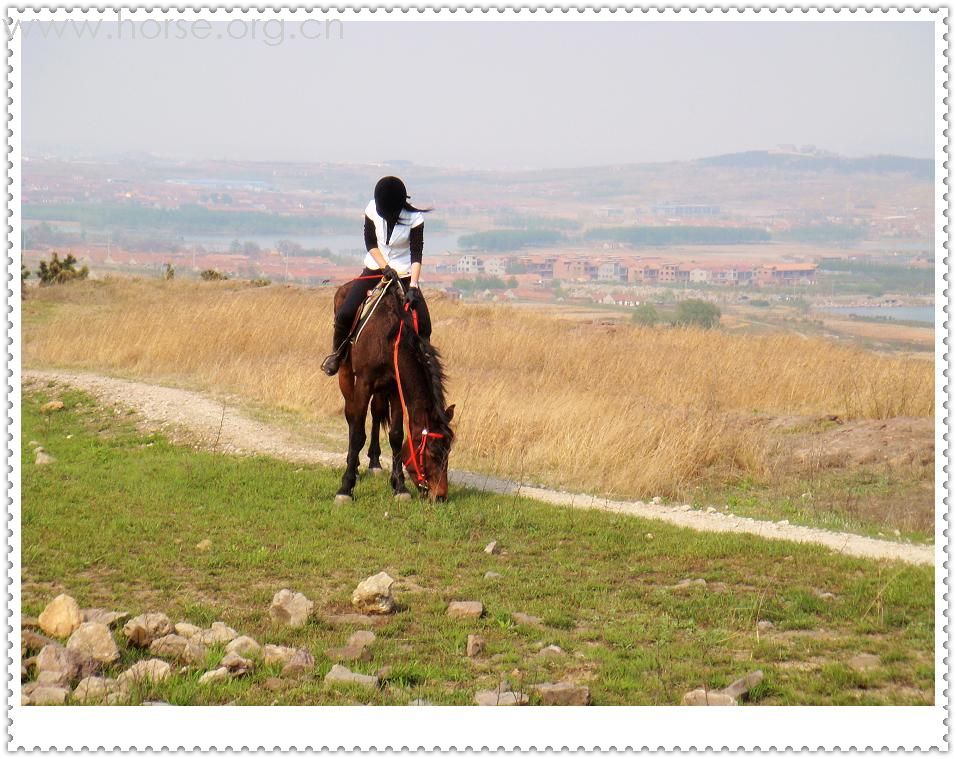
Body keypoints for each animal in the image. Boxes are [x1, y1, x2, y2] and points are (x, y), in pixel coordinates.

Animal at [332, 280, 456, 504]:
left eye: (449, 451)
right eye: (433, 453)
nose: (441, 495)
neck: (388, 340)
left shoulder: (396, 387)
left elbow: (396, 436)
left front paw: (399, 486)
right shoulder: (364, 383)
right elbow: (358, 433)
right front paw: (345, 487)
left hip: (382, 390)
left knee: (376, 412)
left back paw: (374, 463)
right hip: (345, 373)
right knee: (351, 415)